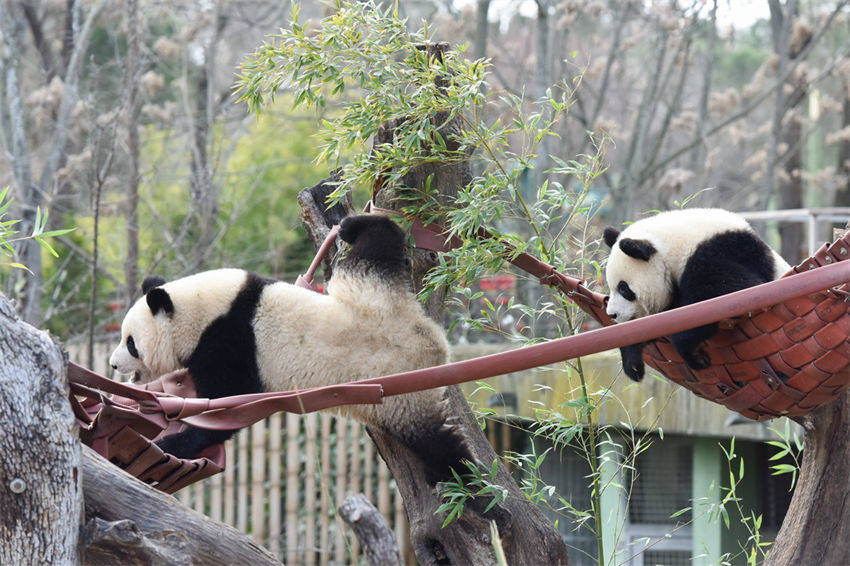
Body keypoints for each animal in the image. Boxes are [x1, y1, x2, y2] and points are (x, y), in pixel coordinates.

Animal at [109, 213, 469, 484]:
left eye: (131, 342)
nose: (112, 364)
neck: (205, 311)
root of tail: (431, 344)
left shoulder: (231, 342)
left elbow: (226, 405)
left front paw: (172, 442)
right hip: (369, 290)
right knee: (378, 246)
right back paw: (354, 225)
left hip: (402, 394)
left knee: (438, 445)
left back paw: (471, 489)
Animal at [603, 208, 791, 382]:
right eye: (611, 287)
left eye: (623, 288)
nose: (612, 314)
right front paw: (632, 362)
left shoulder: (719, 253)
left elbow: (735, 294)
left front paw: (695, 356)